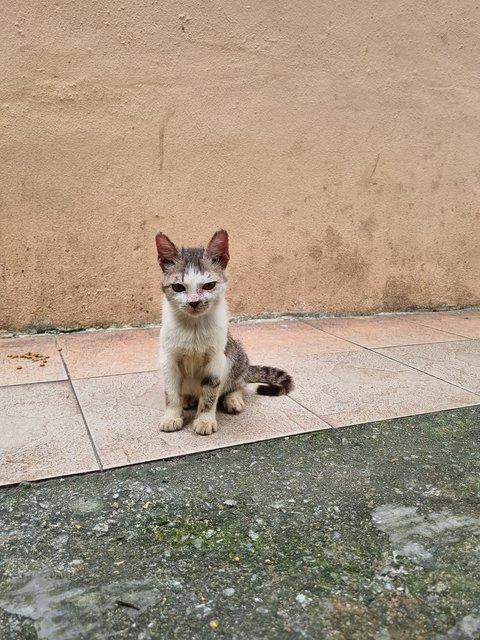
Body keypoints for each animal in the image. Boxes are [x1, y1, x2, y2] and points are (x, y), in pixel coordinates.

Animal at [156, 230, 294, 436]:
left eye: (209, 285)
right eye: (178, 287)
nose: (194, 302)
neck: (193, 328)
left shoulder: (216, 360)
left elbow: (210, 393)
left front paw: (204, 420)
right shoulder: (169, 360)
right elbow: (171, 393)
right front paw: (172, 416)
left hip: (236, 353)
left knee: (238, 383)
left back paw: (233, 399)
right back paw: (187, 399)